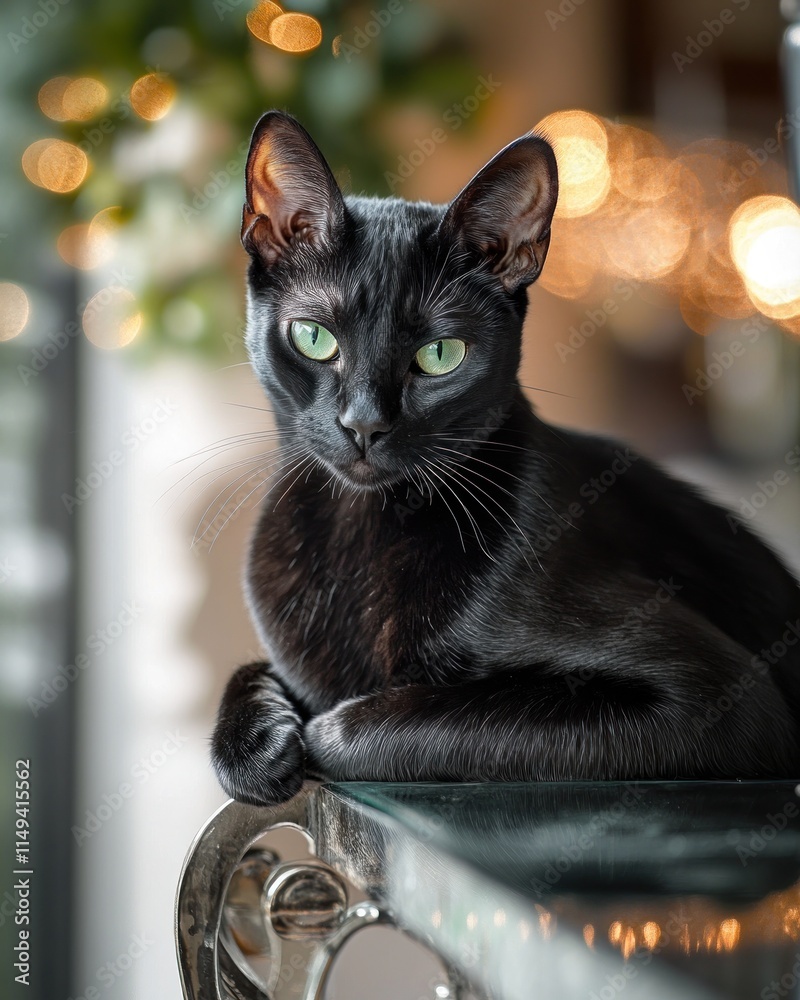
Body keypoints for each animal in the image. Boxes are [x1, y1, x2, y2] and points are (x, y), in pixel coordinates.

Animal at [211, 109, 800, 804]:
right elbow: (247, 675)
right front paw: (257, 745)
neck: (364, 526)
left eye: (441, 355)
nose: (364, 425)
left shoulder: (715, 696)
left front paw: (318, 731)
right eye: (313, 338)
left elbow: (396, 719)